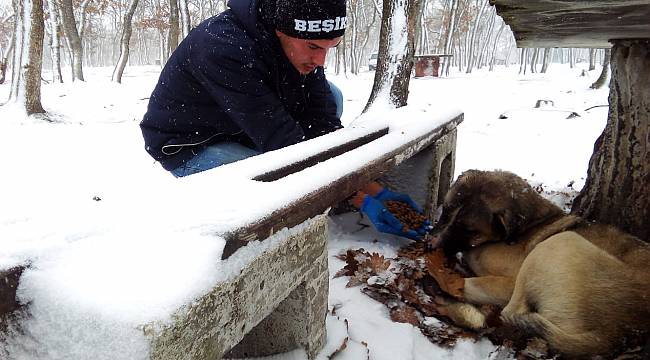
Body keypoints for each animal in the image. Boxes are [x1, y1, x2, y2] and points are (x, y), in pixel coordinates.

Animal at [430, 170, 648, 358]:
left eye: (468, 229)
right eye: (446, 210)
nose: (431, 244)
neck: (528, 226)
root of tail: (617, 333)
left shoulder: (508, 282)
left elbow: (470, 284)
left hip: (556, 244)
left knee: (507, 312)